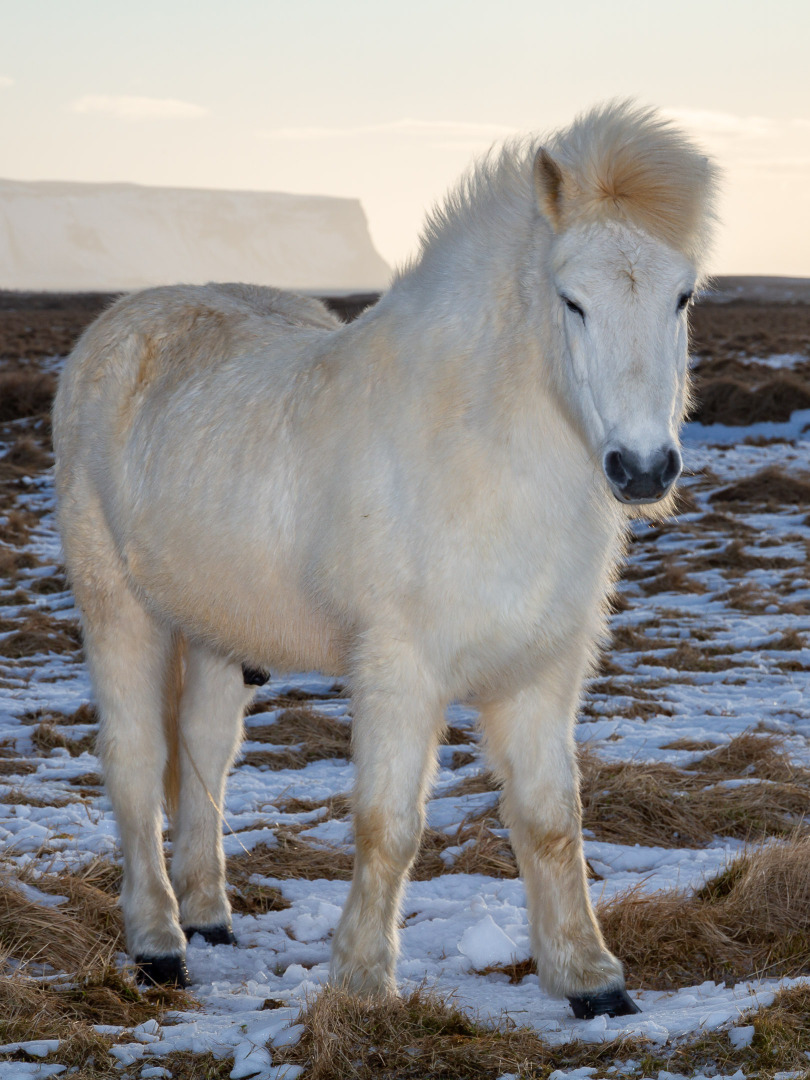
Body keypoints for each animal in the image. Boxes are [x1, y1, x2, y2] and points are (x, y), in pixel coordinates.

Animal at [53, 101, 717, 1020]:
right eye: (572, 301)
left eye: (681, 295)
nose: (644, 469)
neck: (478, 454)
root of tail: (115, 333)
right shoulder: (401, 670)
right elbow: (388, 824)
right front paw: (363, 981)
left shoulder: (541, 672)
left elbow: (552, 820)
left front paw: (591, 981)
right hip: (120, 611)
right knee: (137, 762)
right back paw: (158, 944)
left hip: (218, 632)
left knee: (203, 753)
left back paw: (210, 915)